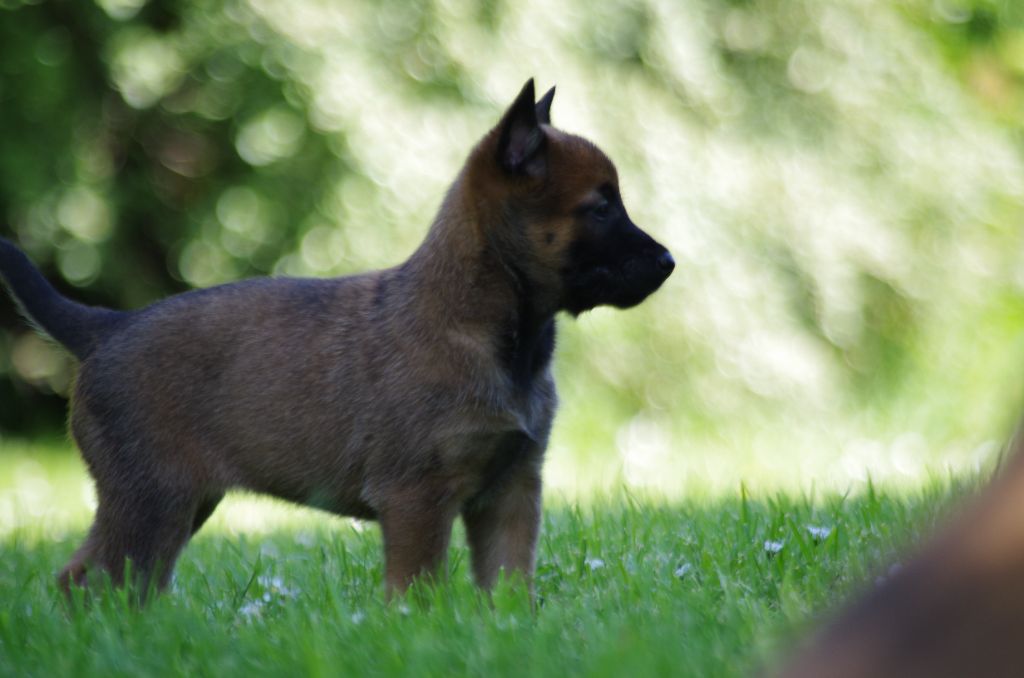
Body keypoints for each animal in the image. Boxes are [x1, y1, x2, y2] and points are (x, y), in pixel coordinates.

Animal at [0, 78, 675, 602]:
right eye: (600, 208)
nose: (669, 262)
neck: (491, 331)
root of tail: (105, 327)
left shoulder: (510, 493)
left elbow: (511, 586)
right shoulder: (416, 498)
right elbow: (418, 591)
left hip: (179, 503)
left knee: (123, 583)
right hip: (151, 498)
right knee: (85, 579)